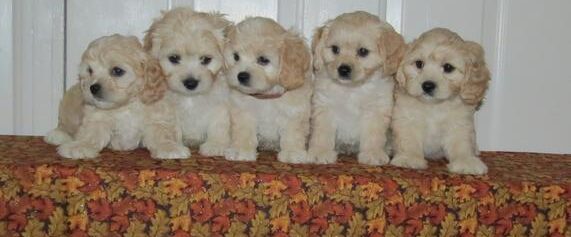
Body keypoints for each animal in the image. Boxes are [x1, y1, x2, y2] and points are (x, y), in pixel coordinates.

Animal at [46, 34, 190, 160]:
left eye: (117, 71)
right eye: (90, 71)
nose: (93, 88)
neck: (126, 106)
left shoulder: (156, 119)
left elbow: (162, 134)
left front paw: (170, 148)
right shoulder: (97, 118)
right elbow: (90, 134)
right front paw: (80, 146)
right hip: (68, 106)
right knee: (64, 124)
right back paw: (57, 135)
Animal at [223, 16, 312, 163]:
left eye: (263, 60)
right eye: (236, 57)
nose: (241, 76)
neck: (265, 96)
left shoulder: (293, 113)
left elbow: (292, 133)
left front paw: (292, 153)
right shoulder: (243, 113)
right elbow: (243, 132)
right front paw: (241, 150)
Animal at [308, 11, 406, 165]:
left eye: (363, 51)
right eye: (335, 49)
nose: (343, 69)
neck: (352, 89)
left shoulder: (376, 110)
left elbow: (374, 135)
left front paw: (372, 153)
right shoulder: (324, 106)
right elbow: (322, 132)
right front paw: (320, 152)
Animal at [394, 28, 492, 175]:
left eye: (448, 67)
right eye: (419, 64)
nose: (427, 85)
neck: (434, 106)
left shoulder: (459, 123)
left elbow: (461, 143)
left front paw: (466, 162)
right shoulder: (406, 119)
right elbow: (408, 140)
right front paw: (409, 158)